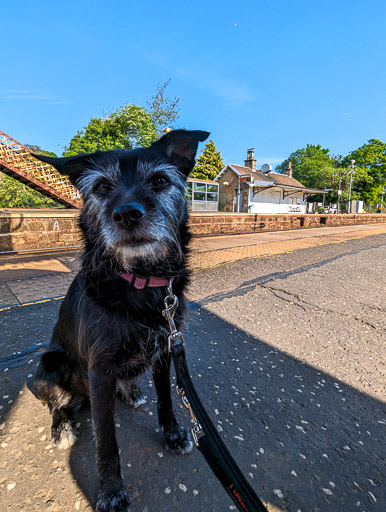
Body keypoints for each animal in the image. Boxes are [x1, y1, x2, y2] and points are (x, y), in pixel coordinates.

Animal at [32, 130, 210, 512]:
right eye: (101, 186)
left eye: (159, 180)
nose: (127, 213)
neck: (140, 282)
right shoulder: (99, 372)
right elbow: (107, 441)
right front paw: (111, 492)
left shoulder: (163, 352)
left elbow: (167, 398)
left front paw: (173, 433)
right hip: (48, 364)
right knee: (57, 404)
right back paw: (62, 428)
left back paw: (131, 390)